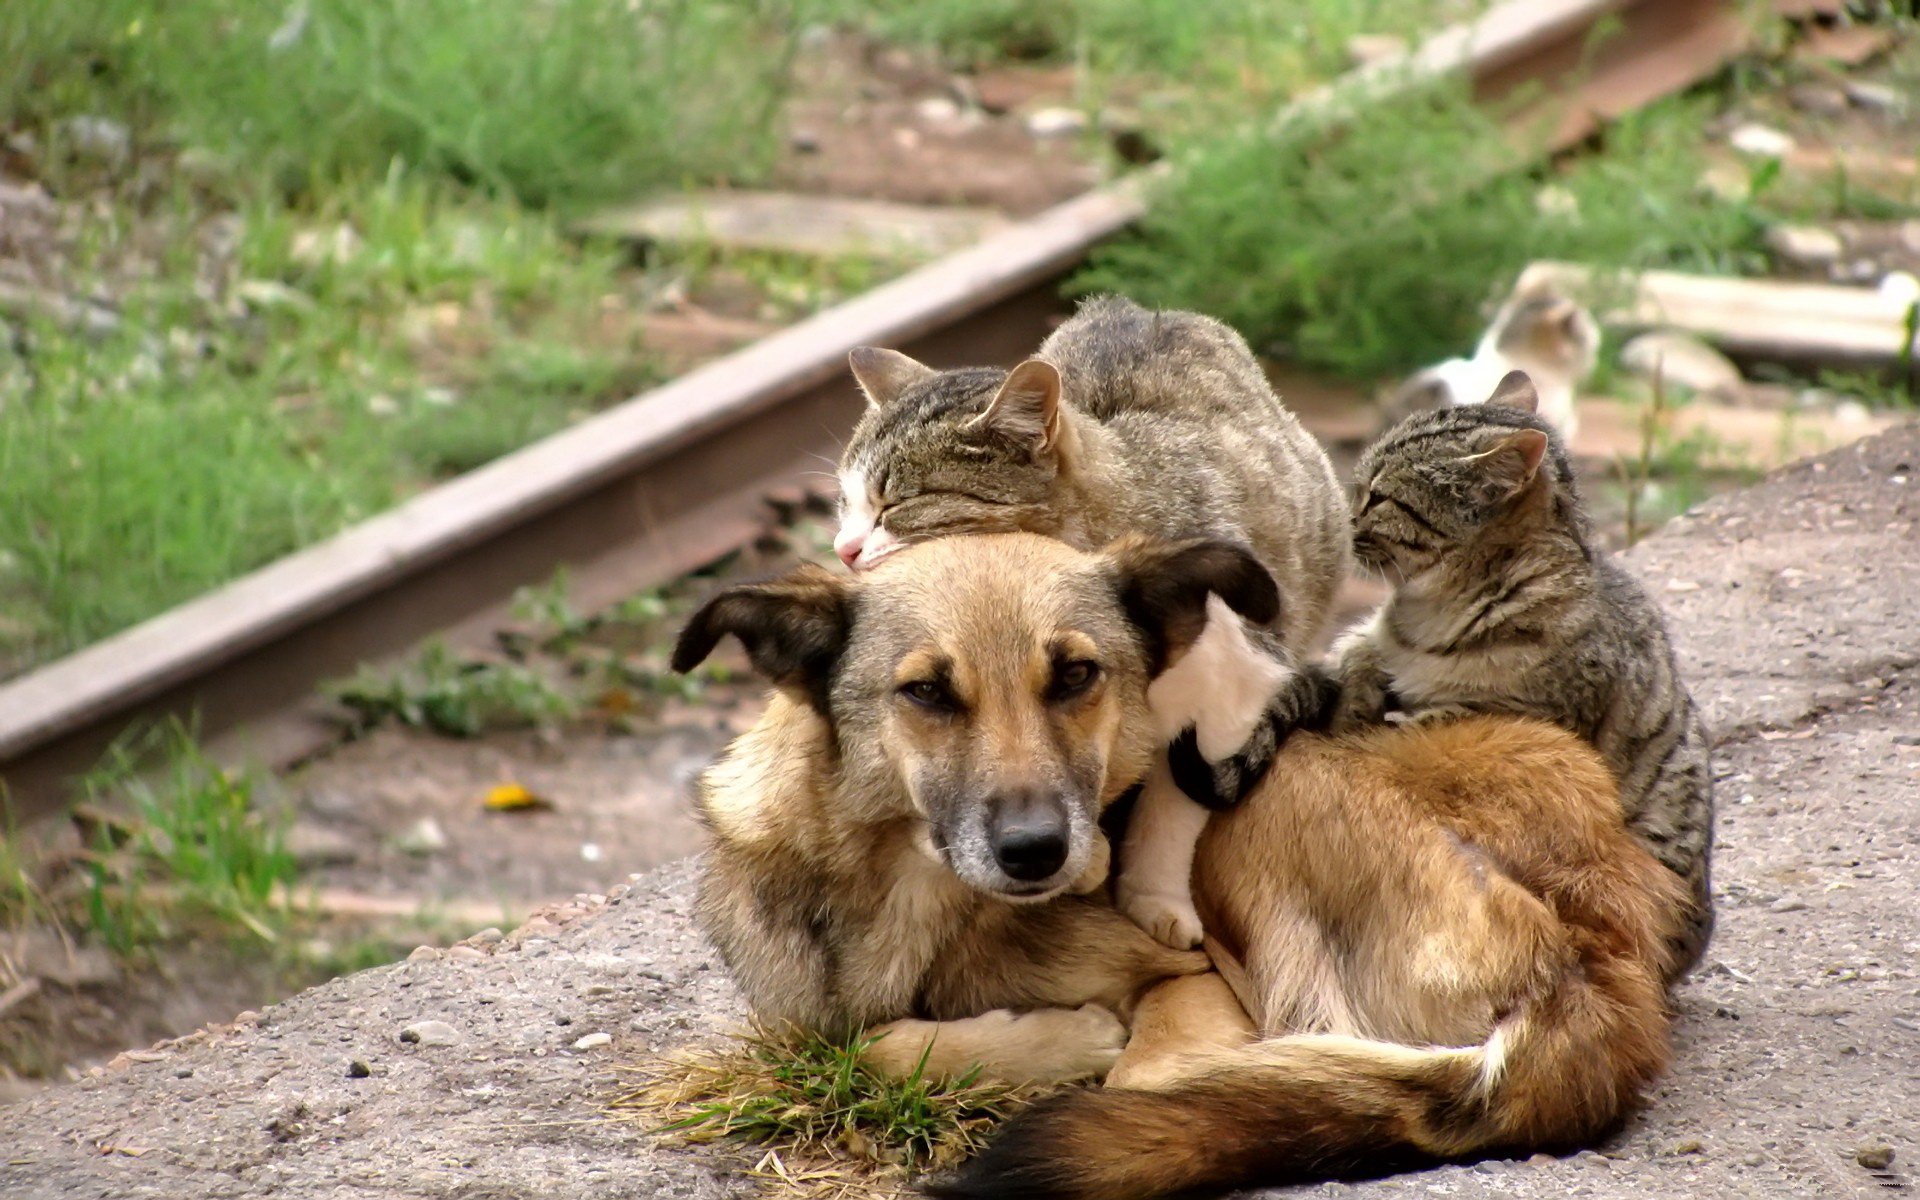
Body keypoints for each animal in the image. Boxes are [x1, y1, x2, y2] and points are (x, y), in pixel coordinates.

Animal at [672, 537, 1681, 1198]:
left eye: (1076, 676)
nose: (1038, 851)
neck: (913, 891)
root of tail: (1601, 962)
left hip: (1262, 810)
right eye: (925, 692)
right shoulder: (798, 1017)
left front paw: (1070, 1041)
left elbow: (924, 1049)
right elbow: (857, 1044)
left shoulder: (1192, 985)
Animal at [829, 291, 1351, 944]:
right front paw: (1087, 859)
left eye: (896, 505)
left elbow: (1171, 805)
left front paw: (1152, 895)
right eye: (845, 503)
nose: (843, 549)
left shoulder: (1234, 682)